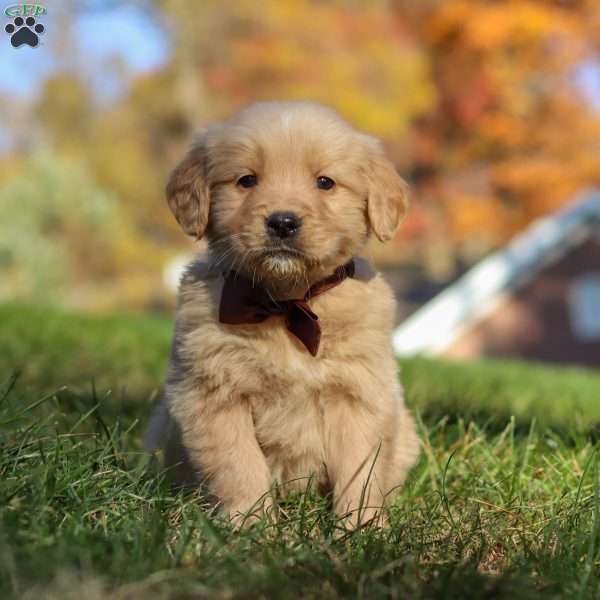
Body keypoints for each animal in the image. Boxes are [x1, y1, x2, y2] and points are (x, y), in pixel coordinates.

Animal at [148, 101, 420, 528]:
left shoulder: (358, 394)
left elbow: (359, 470)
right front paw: (251, 526)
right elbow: (239, 465)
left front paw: (361, 527)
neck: (286, 303)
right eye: (246, 180)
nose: (282, 222)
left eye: (325, 182)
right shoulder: (215, 394)